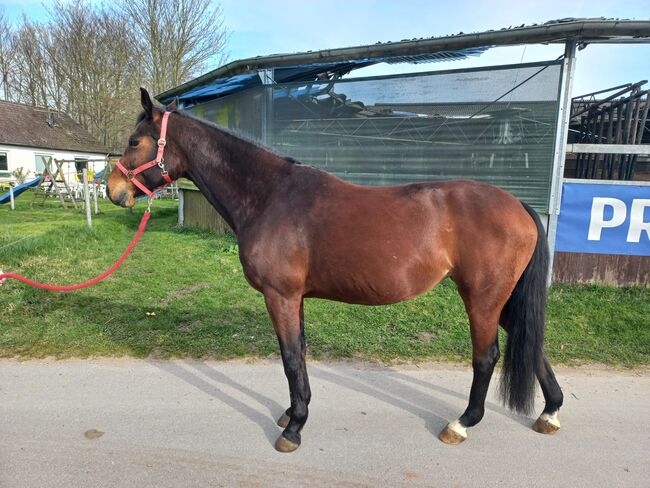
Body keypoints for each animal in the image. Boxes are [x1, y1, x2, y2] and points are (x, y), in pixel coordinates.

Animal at [107, 88, 560, 454]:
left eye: (134, 141)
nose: (113, 189)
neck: (269, 196)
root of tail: (518, 204)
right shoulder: (295, 298)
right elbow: (300, 354)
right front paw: (293, 413)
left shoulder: (280, 295)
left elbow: (291, 358)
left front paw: (294, 430)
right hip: (502, 298)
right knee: (530, 341)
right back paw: (550, 413)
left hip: (481, 297)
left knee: (486, 357)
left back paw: (461, 424)